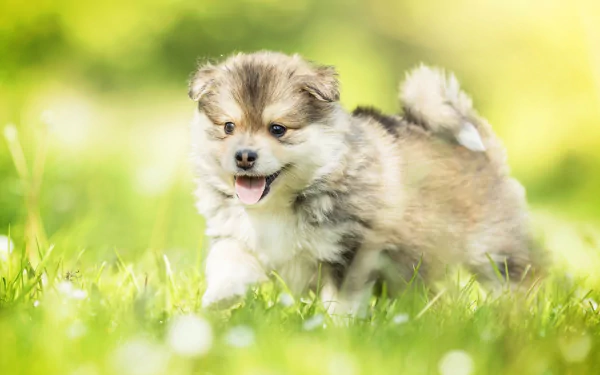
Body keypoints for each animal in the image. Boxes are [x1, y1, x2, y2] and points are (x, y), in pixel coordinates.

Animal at [189, 51, 544, 316]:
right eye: (228, 127)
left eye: (278, 129)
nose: (244, 157)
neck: (277, 204)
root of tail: (482, 149)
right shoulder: (234, 233)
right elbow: (228, 260)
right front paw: (220, 296)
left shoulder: (350, 247)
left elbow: (341, 299)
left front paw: (335, 330)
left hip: (492, 244)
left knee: (517, 274)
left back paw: (519, 312)